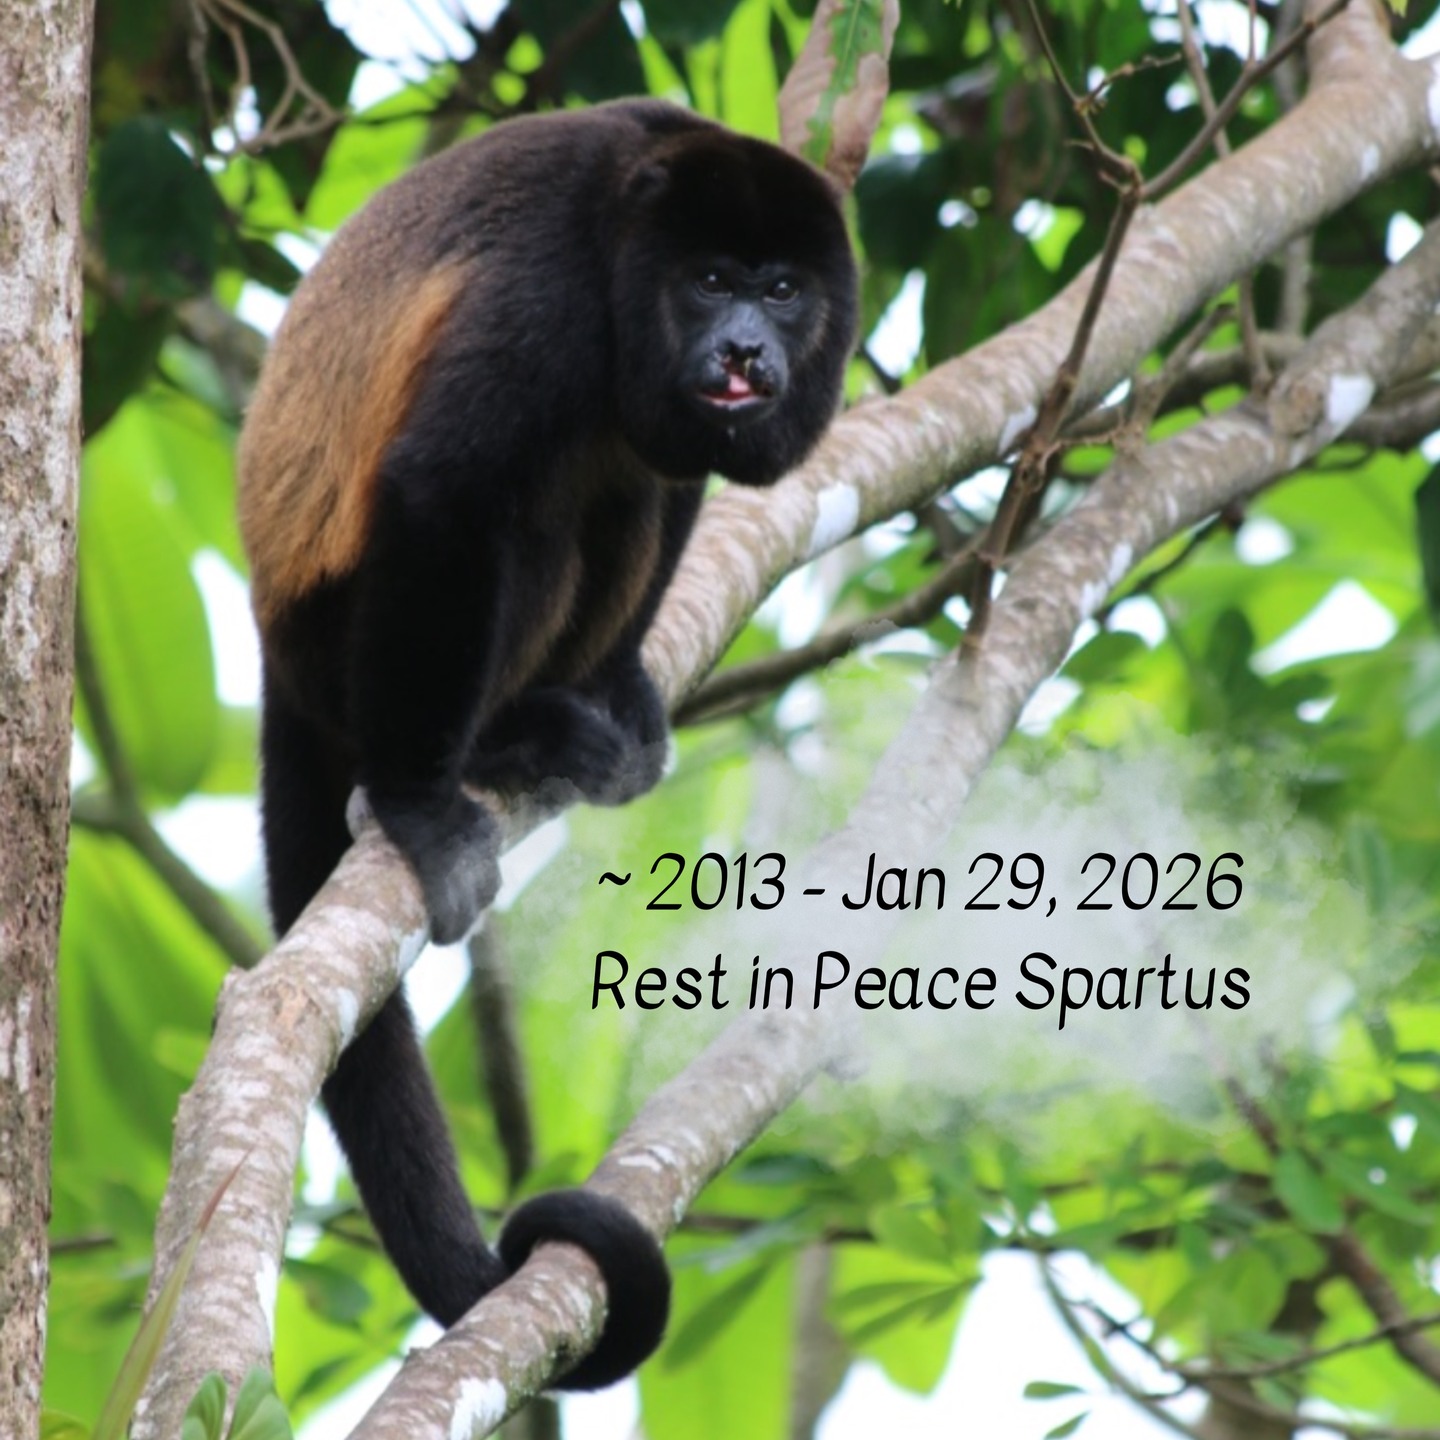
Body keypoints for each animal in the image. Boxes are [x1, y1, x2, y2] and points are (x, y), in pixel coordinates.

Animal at [237, 97, 857, 1387]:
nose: (744, 348)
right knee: (523, 514)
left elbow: (675, 481)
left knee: (630, 485)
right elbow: (447, 488)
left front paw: (624, 692)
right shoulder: (548, 298)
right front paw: (421, 814)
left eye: (781, 290)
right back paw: (492, 743)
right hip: (342, 642)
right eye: (710, 281)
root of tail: (274, 641)